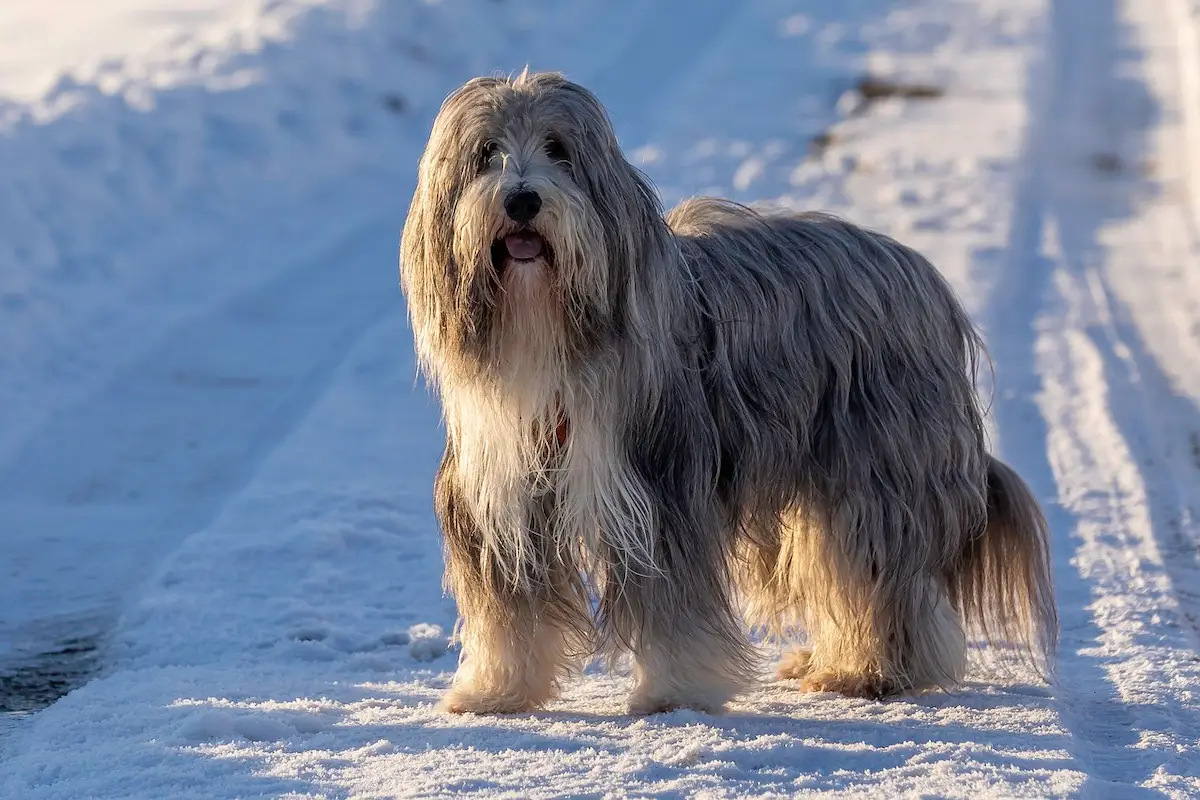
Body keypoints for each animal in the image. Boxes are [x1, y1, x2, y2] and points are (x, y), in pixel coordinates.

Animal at [398, 71, 1056, 714]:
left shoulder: (660, 489)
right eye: (486, 153)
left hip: (876, 469)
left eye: (559, 149)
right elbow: (510, 612)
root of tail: (922, 276)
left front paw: (673, 693)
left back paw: (871, 671)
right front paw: (496, 690)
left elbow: (675, 608)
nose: (522, 199)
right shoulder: (502, 497)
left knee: (880, 575)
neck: (546, 333)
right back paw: (827, 660)